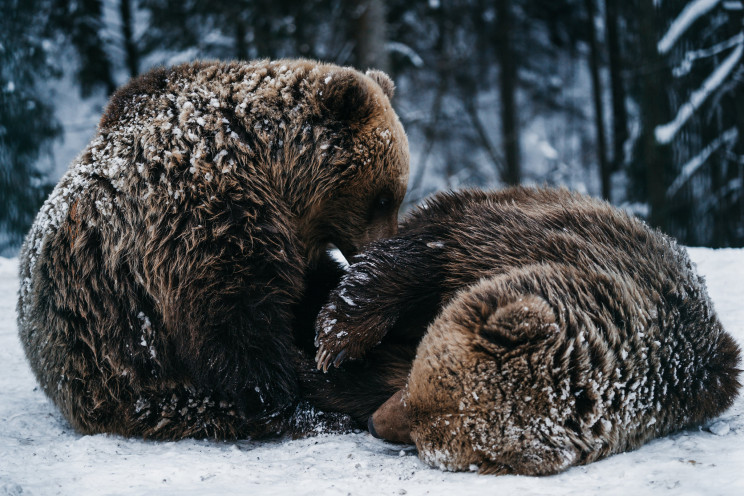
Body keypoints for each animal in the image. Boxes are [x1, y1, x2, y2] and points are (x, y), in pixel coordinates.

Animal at [17, 59, 410, 442]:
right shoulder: (201, 214)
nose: (379, 249)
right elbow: (234, 317)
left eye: (395, 197)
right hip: (113, 363)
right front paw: (292, 395)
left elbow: (308, 288)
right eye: (383, 198)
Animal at [310, 188, 740, 474]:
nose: (374, 425)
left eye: (421, 433)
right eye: (417, 380)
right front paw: (336, 341)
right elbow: (423, 256)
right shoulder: (525, 240)